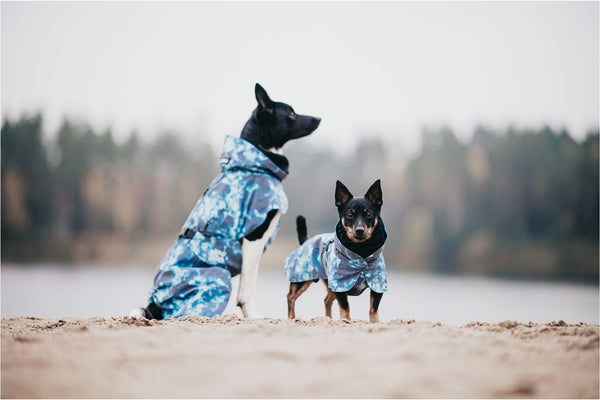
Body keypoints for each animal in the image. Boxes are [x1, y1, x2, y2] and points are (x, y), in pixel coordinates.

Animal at [130, 83, 318, 318]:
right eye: (291, 113)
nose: (318, 119)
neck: (255, 163)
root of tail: (154, 302)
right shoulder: (254, 238)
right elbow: (247, 291)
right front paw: (254, 317)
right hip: (218, 277)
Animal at [282, 180, 386, 324]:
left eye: (369, 215)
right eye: (349, 215)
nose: (359, 230)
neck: (361, 251)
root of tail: (305, 241)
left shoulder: (377, 283)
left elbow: (373, 308)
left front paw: (375, 322)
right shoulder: (340, 284)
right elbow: (345, 306)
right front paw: (346, 321)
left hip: (328, 283)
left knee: (326, 300)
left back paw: (328, 319)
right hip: (301, 279)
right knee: (290, 297)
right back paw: (291, 318)